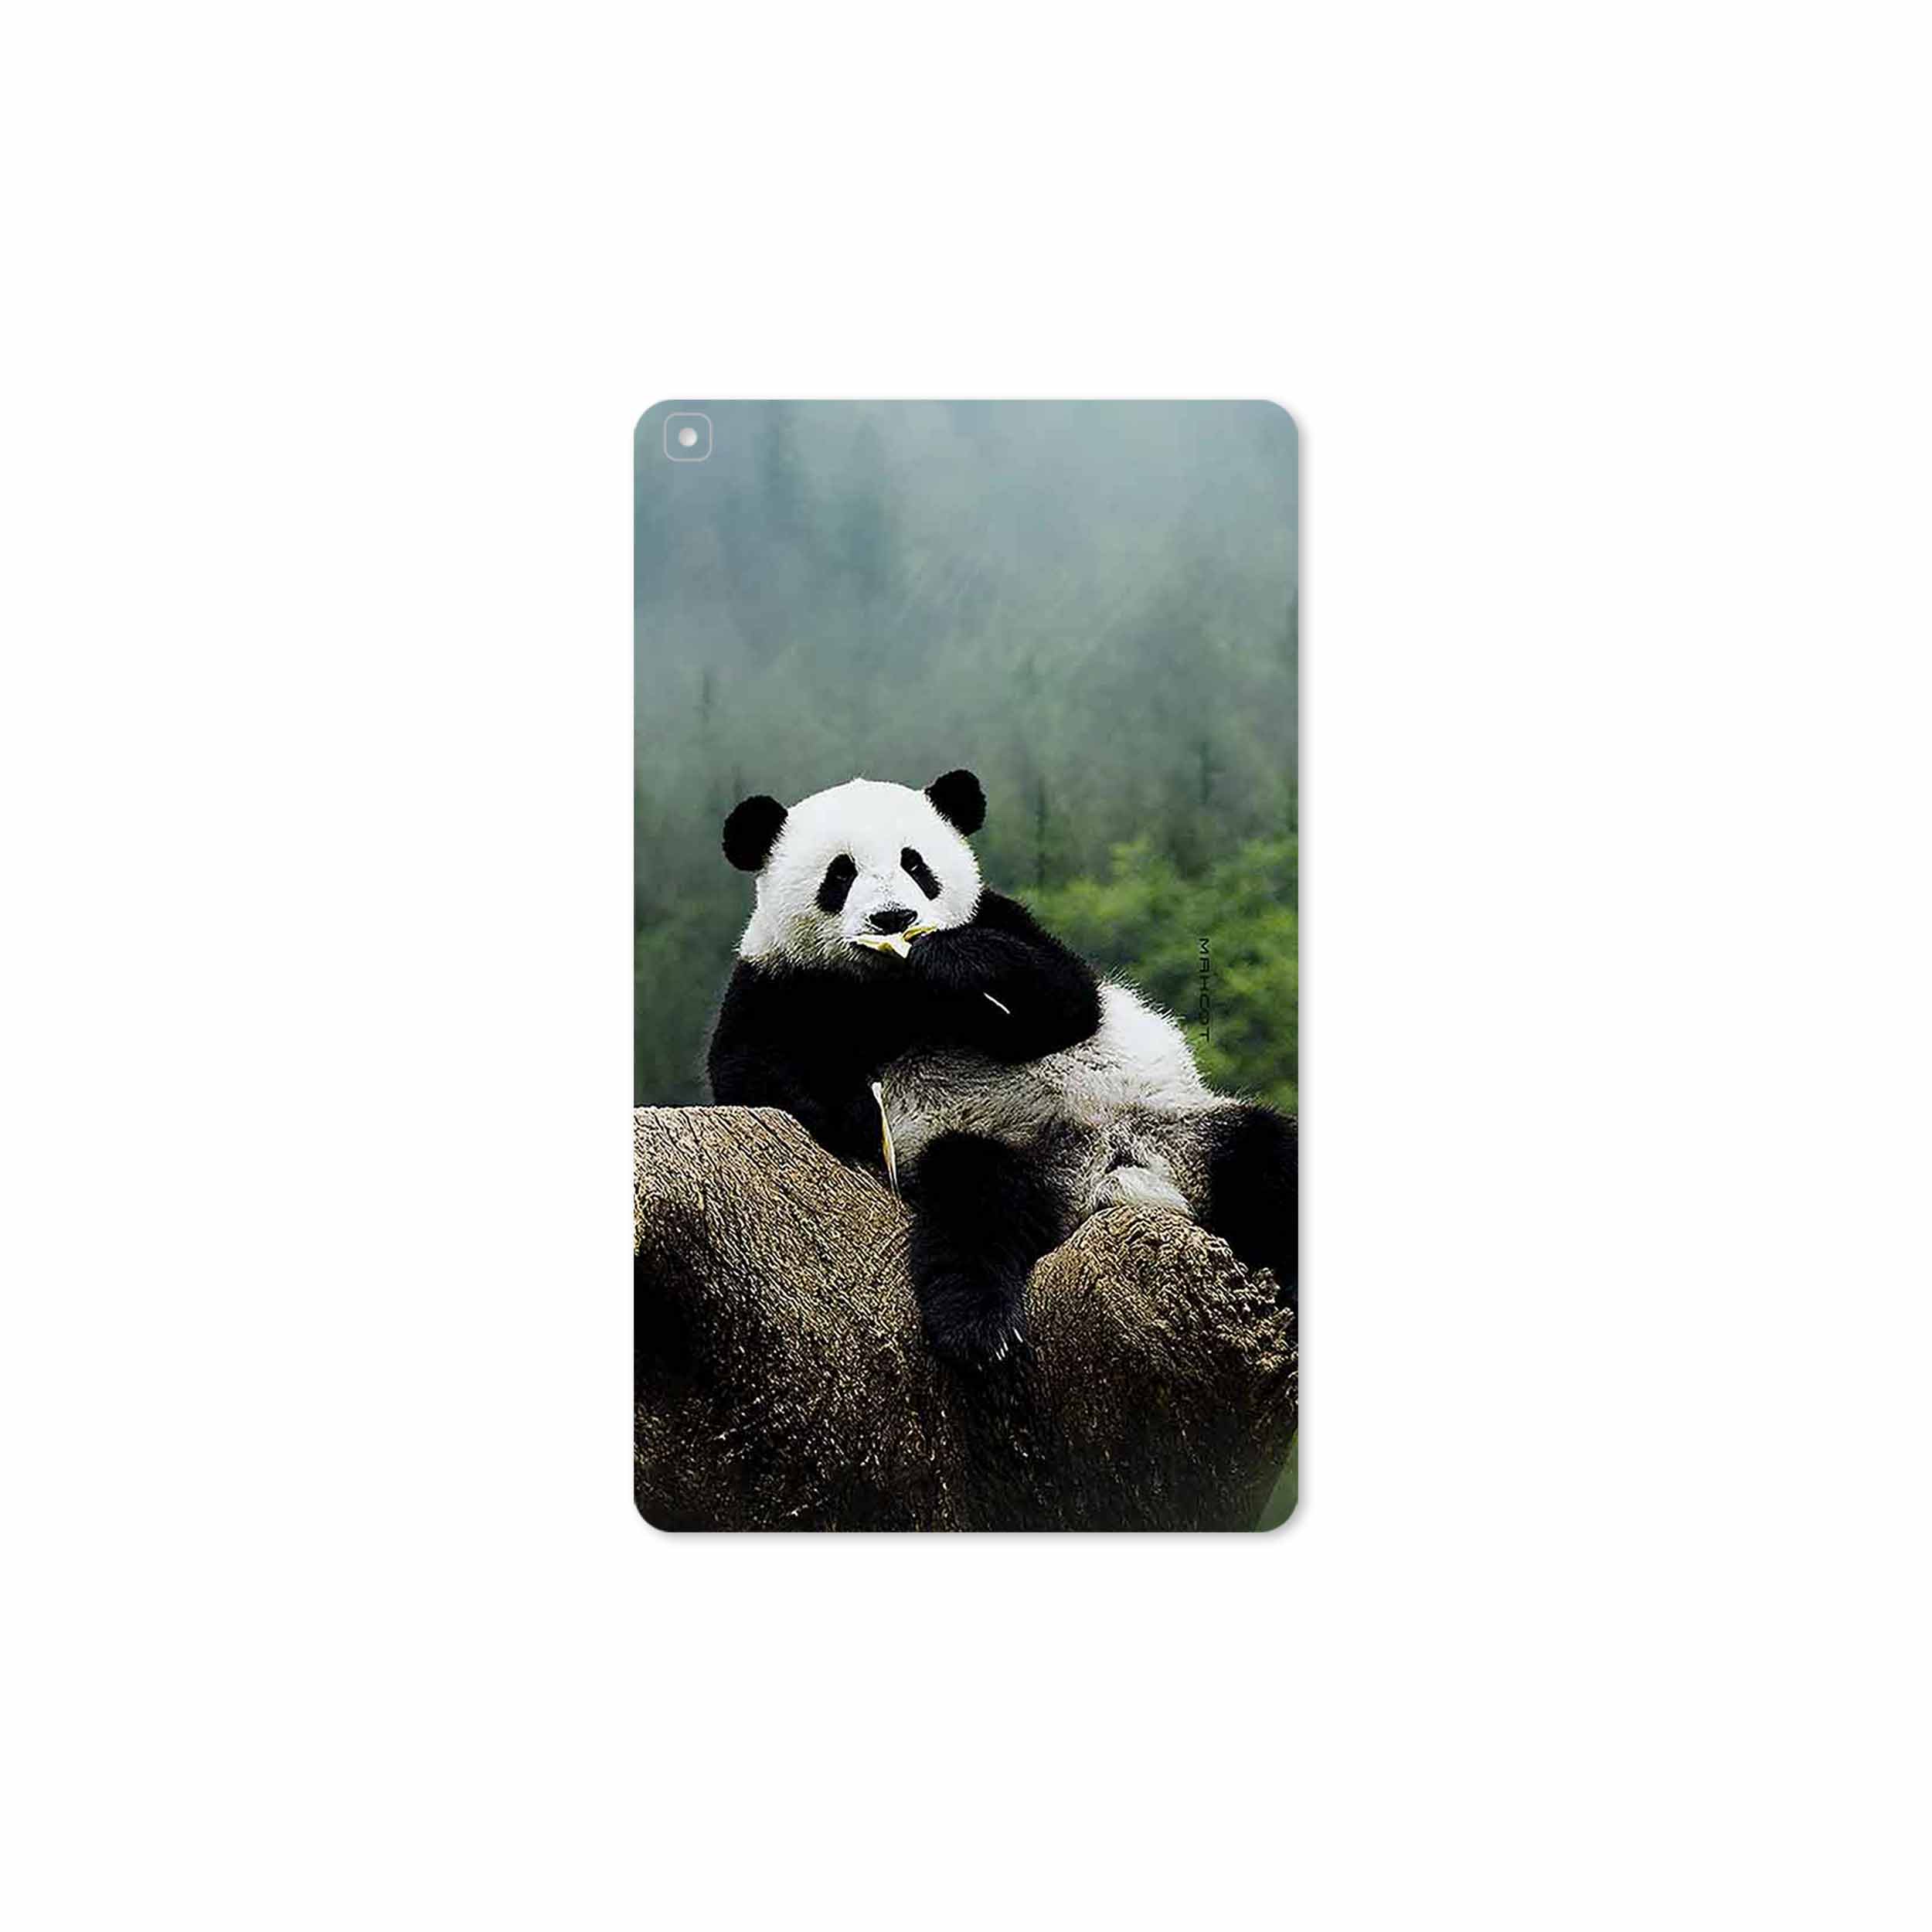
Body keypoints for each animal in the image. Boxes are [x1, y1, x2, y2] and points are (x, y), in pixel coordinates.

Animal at [707, 768, 1297, 1365]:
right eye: (841, 873)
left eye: (915, 864)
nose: (894, 919)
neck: (891, 990)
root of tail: (1104, 1178)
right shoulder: (778, 982)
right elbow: (750, 1072)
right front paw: (857, 1115)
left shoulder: (1000, 918)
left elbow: (1067, 1001)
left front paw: (950, 961)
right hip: (993, 1148)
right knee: (974, 1206)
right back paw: (979, 1327)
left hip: (1179, 1126)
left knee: (1268, 1160)